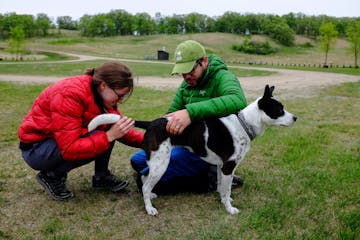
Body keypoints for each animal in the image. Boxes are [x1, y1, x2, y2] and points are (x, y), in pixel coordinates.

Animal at [88, 86, 296, 216]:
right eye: (279, 110)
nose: (295, 118)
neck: (244, 124)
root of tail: (153, 123)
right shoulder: (228, 167)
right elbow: (227, 188)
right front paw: (229, 209)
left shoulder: (221, 167)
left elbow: (222, 188)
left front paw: (224, 201)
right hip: (161, 163)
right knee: (146, 185)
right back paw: (149, 209)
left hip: (156, 162)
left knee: (145, 179)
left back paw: (151, 197)